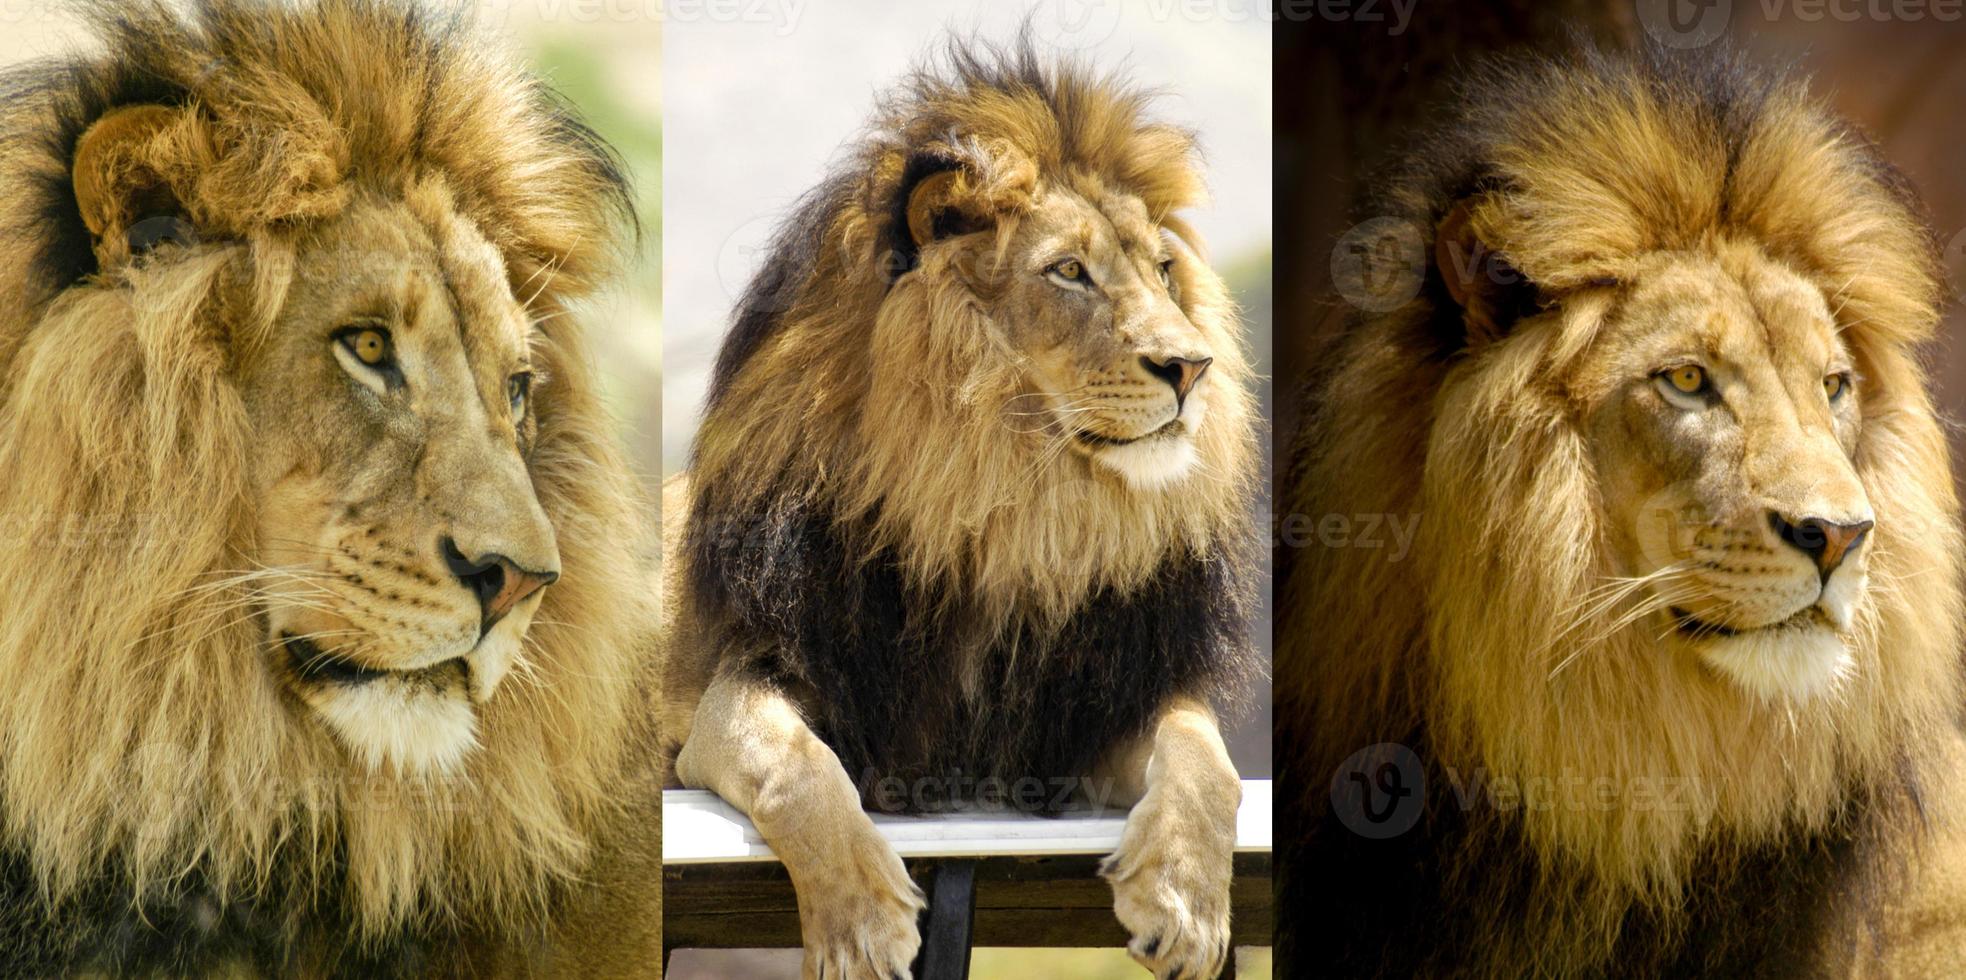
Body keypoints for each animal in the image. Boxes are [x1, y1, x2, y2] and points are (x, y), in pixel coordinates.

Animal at [664, 34, 1258, 976]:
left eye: (1165, 271)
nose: (1193, 366)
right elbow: (794, 767)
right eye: (1068, 272)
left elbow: (1207, 761)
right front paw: (862, 925)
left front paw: (1185, 902)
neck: (1006, 503)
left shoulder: (1096, 710)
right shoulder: (754, 680)